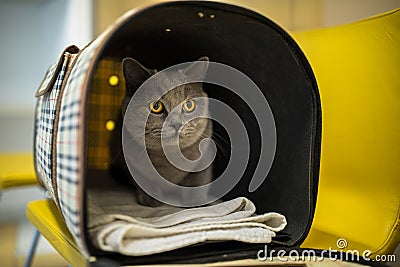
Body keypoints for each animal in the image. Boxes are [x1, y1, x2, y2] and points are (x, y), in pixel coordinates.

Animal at [109, 57, 214, 207]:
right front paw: (151, 199)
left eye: (189, 105)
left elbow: (198, 180)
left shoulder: (205, 155)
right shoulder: (131, 162)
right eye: (156, 106)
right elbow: (144, 179)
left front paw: (197, 201)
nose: (176, 123)